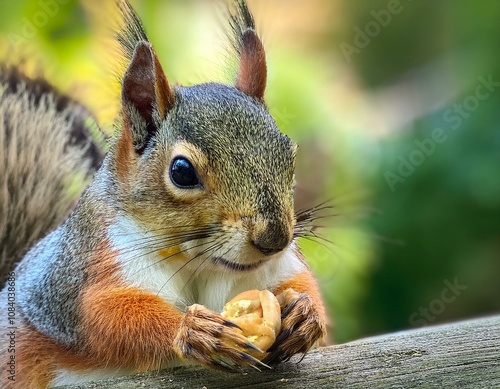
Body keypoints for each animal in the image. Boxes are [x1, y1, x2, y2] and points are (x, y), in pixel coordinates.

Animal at [0, 1, 328, 386]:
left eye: (290, 155)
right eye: (182, 172)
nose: (274, 238)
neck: (198, 262)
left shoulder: (273, 270)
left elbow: (302, 284)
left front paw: (304, 314)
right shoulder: (83, 270)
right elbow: (105, 313)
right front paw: (193, 330)